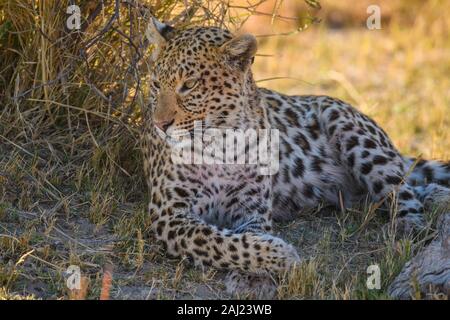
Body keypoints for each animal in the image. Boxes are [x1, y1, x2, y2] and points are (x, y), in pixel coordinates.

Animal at [142, 17, 450, 298]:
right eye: (156, 84)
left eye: (190, 85)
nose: (160, 124)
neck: (221, 143)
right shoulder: (169, 213)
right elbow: (218, 241)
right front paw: (279, 256)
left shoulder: (251, 208)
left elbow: (242, 238)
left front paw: (256, 275)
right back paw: (437, 197)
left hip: (353, 132)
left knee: (403, 193)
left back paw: (410, 227)